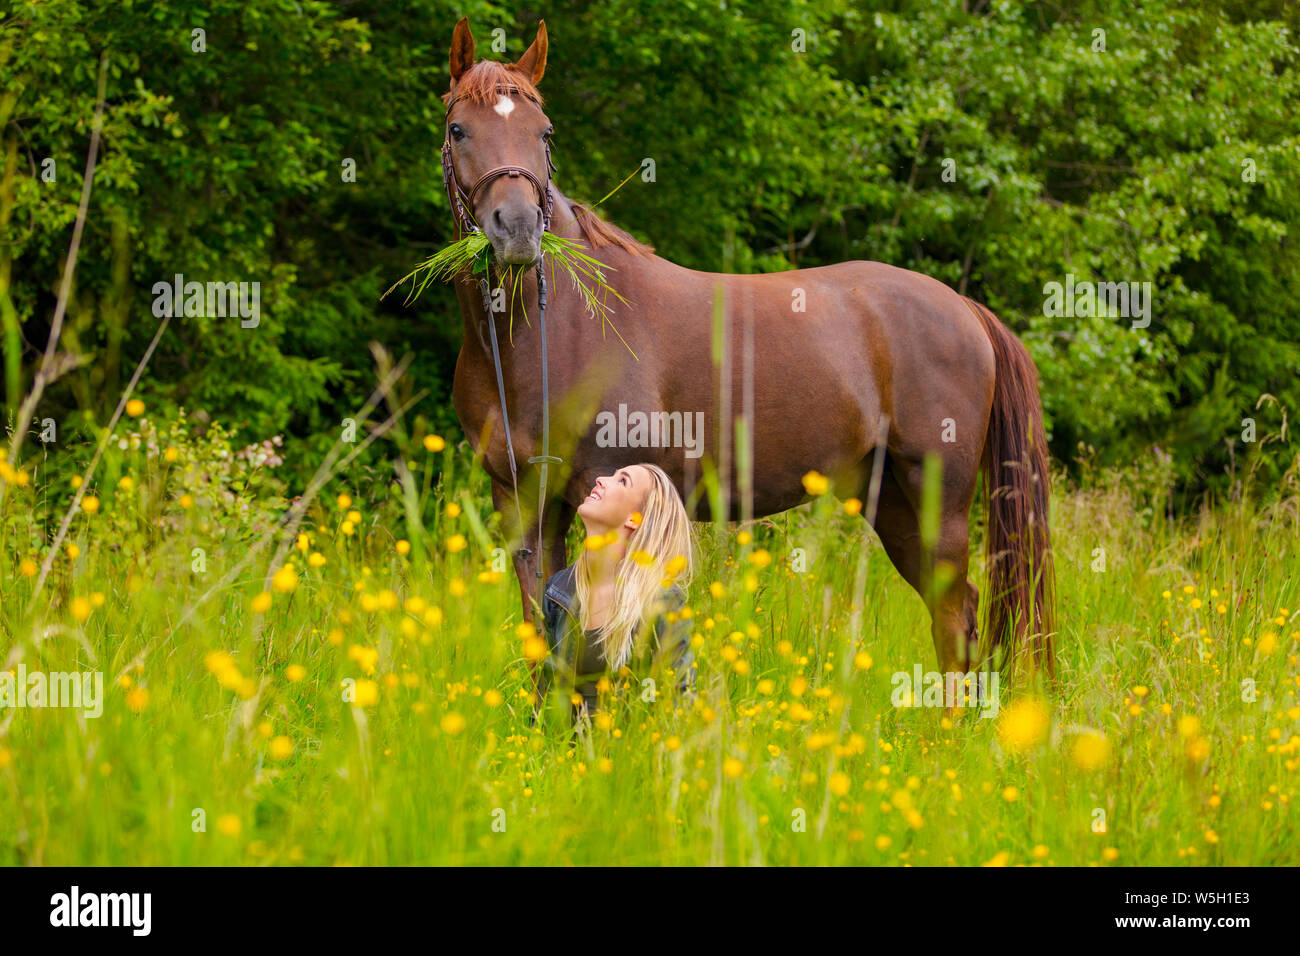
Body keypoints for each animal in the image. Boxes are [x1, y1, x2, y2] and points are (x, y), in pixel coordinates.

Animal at [441, 22, 1050, 681]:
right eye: (459, 129)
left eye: (545, 131)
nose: (518, 229)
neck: (553, 332)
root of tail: (965, 309)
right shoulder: (523, 503)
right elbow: (543, 633)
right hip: (891, 502)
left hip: (940, 500)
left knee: (955, 618)